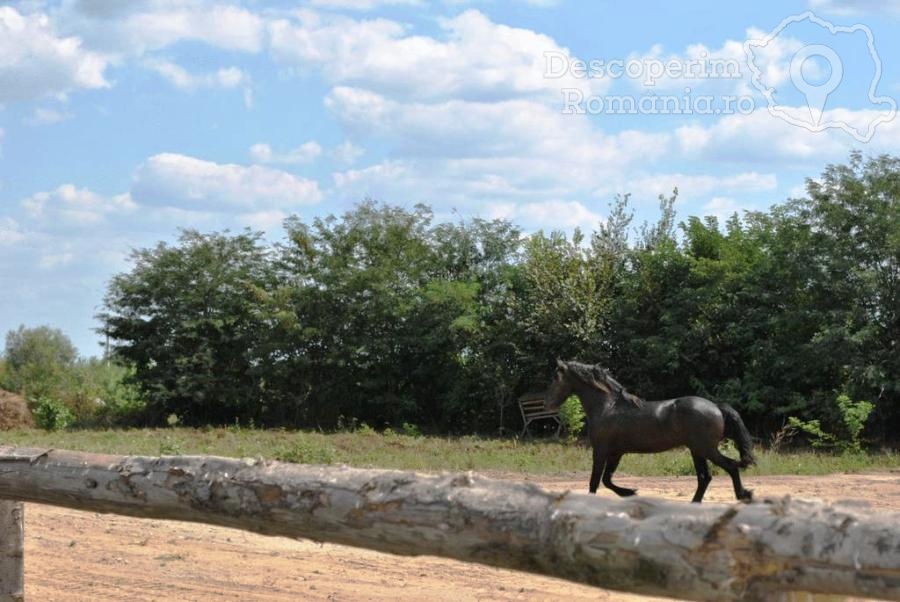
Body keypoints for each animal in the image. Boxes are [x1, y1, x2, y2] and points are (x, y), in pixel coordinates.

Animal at [544, 360, 756, 502]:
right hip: (697, 451)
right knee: (705, 478)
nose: (548, 403)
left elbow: (595, 481)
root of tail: (717, 407)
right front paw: (629, 492)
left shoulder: (601, 450)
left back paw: (744, 495)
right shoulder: (616, 452)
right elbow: (606, 479)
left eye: (556, 378)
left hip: (706, 449)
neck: (608, 407)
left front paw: (628, 492)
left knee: (730, 467)